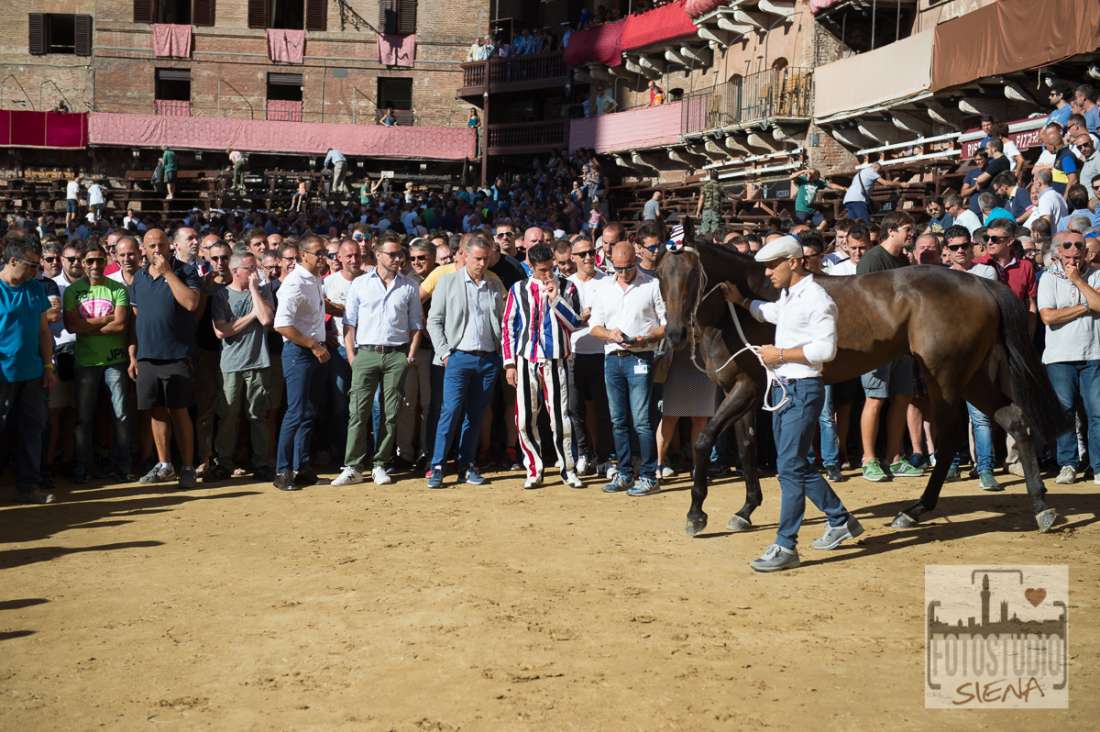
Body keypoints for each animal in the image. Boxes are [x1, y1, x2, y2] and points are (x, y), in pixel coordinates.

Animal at [655, 239, 1060, 537]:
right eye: (659, 274)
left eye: (692, 275)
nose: (674, 334)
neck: (734, 313)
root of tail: (980, 282)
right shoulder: (744, 391)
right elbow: (746, 447)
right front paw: (746, 509)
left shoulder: (747, 388)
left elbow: (703, 440)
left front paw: (696, 514)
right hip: (970, 376)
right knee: (1014, 419)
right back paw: (1040, 505)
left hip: (944, 378)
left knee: (949, 438)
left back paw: (915, 511)